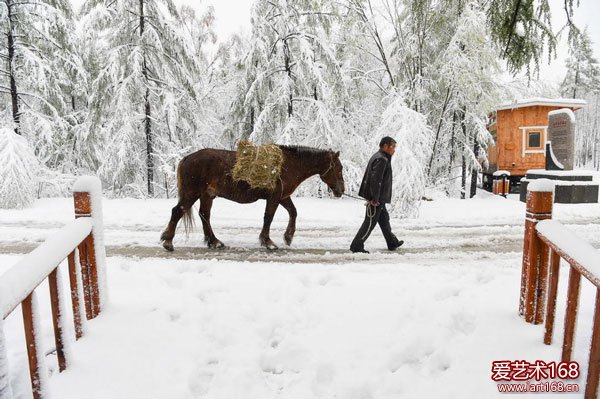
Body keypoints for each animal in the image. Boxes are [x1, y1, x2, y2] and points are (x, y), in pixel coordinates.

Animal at [162, 145, 344, 252]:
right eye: (340, 168)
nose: (342, 190)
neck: (287, 164)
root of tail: (186, 158)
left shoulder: (283, 197)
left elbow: (293, 212)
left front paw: (288, 236)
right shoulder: (274, 197)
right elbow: (268, 217)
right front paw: (268, 242)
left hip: (207, 196)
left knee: (204, 216)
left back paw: (214, 242)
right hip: (191, 194)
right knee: (177, 212)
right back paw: (168, 241)